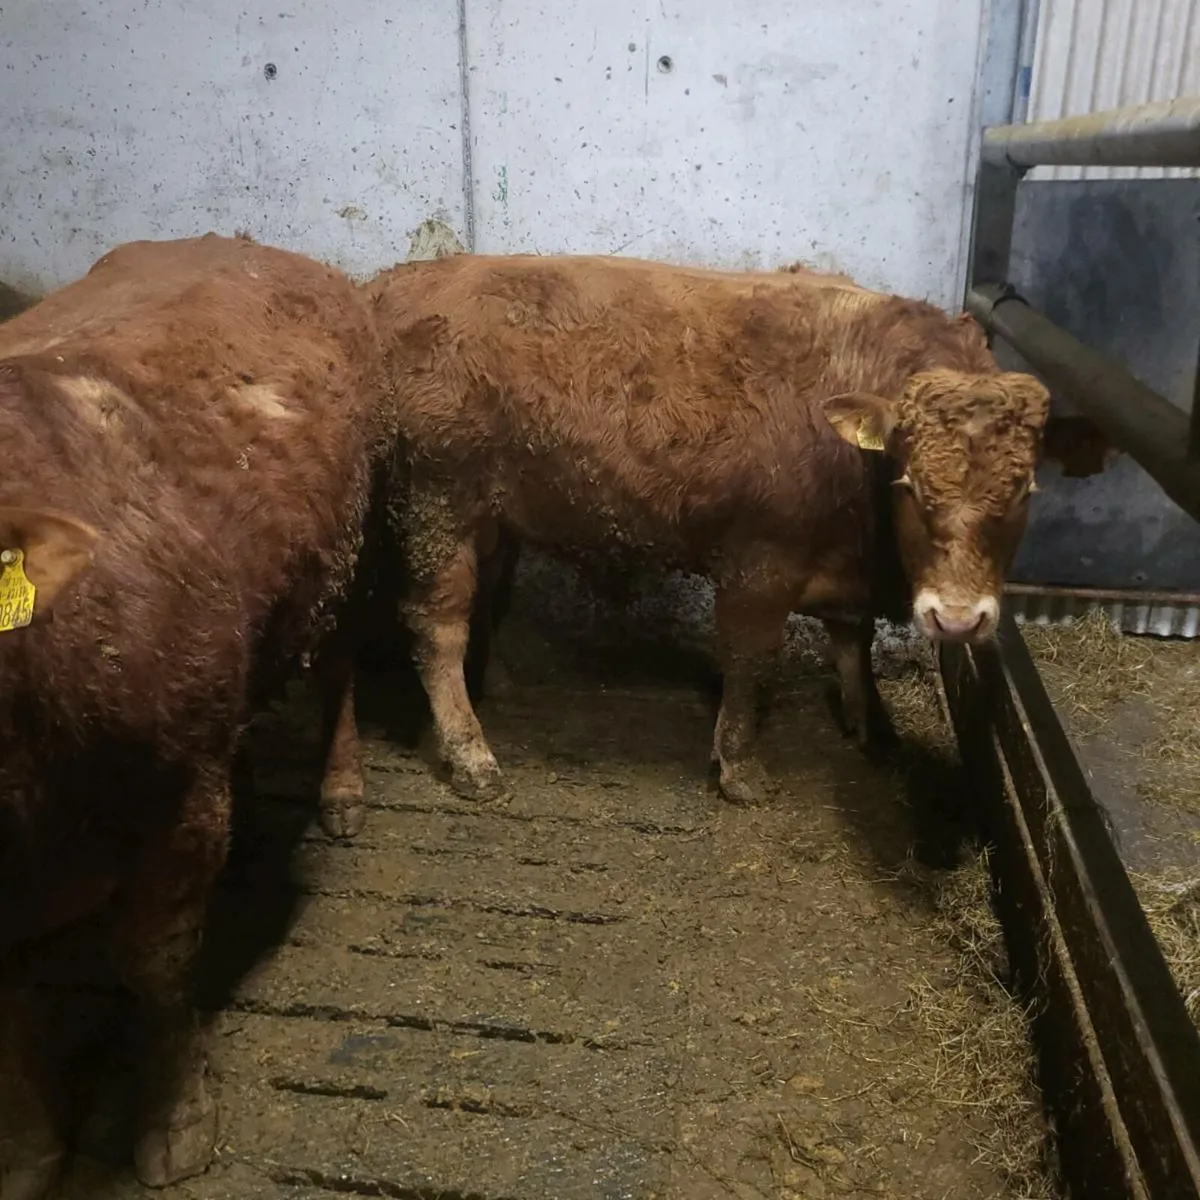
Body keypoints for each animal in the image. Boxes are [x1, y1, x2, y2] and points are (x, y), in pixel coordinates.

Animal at [0, 233, 390, 1197]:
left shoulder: (175, 800)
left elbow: (156, 962)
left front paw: (174, 1119)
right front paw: (27, 1150)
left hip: (349, 552)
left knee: (340, 673)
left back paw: (340, 792)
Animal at [367, 253, 1050, 806]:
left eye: (1025, 490)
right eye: (910, 483)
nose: (957, 621)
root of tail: (394, 283)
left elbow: (853, 645)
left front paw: (876, 730)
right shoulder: (760, 562)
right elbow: (750, 661)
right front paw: (740, 768)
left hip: (491, 514)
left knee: (484, 597)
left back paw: (496, 683)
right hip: (437, 503)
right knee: (436, 626)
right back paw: (471, 755)